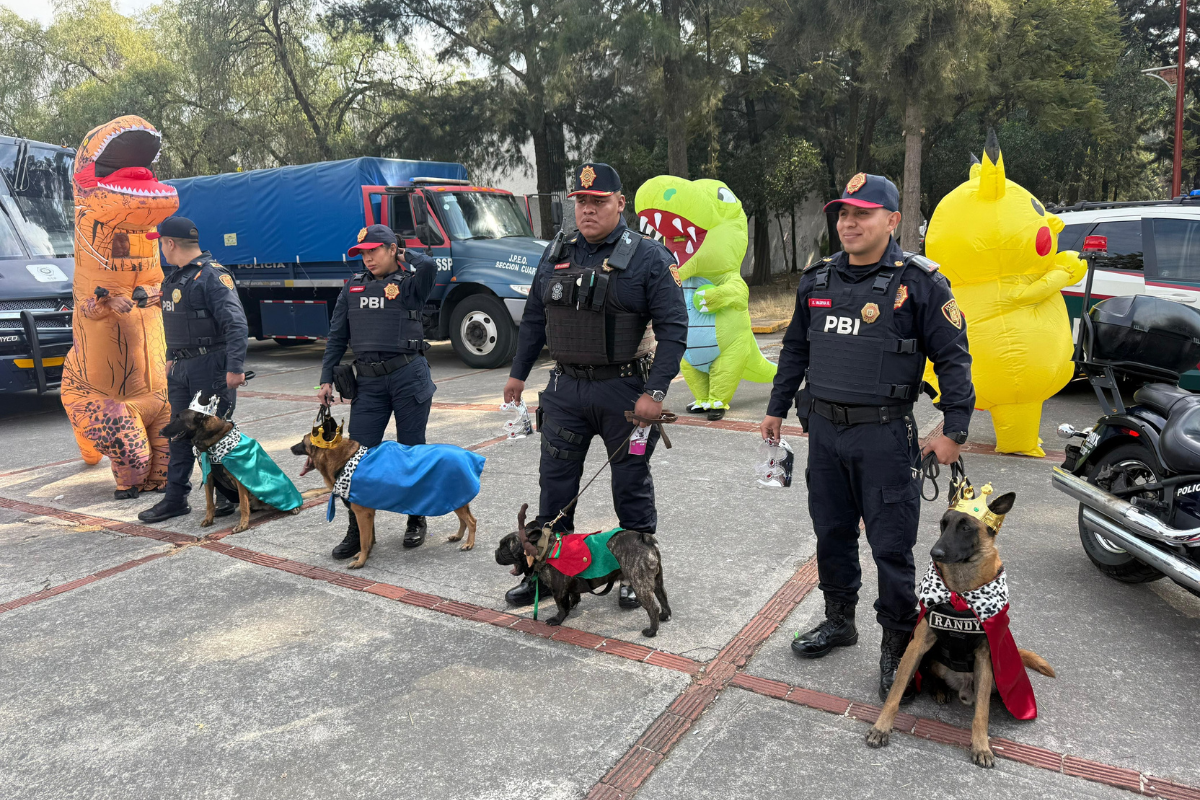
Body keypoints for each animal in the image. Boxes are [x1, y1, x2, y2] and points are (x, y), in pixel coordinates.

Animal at [868, 470, 1056, 767]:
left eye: (966, 528)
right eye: (943, 525)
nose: (935, 553)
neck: (960, 594)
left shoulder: (985, 656)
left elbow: (982, 713)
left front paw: (981, 746)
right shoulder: (917, 646)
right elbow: (896, 690)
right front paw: (882, 727)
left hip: (990, 677)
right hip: (932, 658)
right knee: (933, 676)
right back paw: (939, 690)